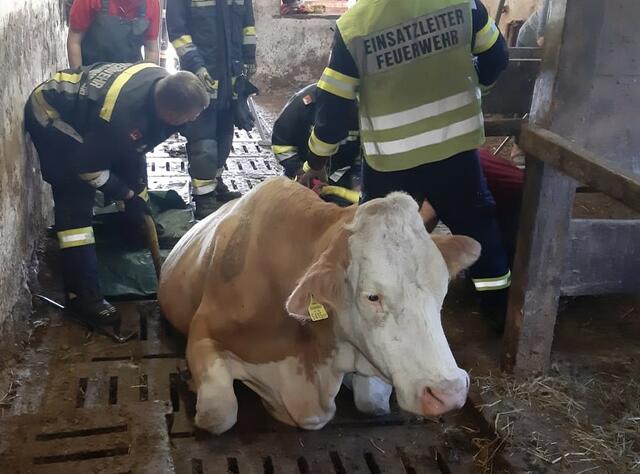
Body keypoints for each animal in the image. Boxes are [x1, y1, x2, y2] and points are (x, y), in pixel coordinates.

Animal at [159, 175, 480, 434]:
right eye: (372, 296)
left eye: (442, 289)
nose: (449, 393)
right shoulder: (203, 332)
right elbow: (218, 414)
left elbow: (373, 401)